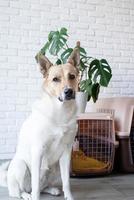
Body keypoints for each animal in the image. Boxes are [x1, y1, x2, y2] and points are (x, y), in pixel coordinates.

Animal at [0, 48, 79, 200]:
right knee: (21, 190)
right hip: (20, 166)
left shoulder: (66, 152)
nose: (69, 92)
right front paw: (34, 197)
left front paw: (69, 197)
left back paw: (52, 190)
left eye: (72, 76)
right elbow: (35, 185)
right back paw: (27, 195)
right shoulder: (38, 150)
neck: (60, 112)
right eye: (55, 79)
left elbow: (66, 181)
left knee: (42, 187)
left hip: (55, 167)